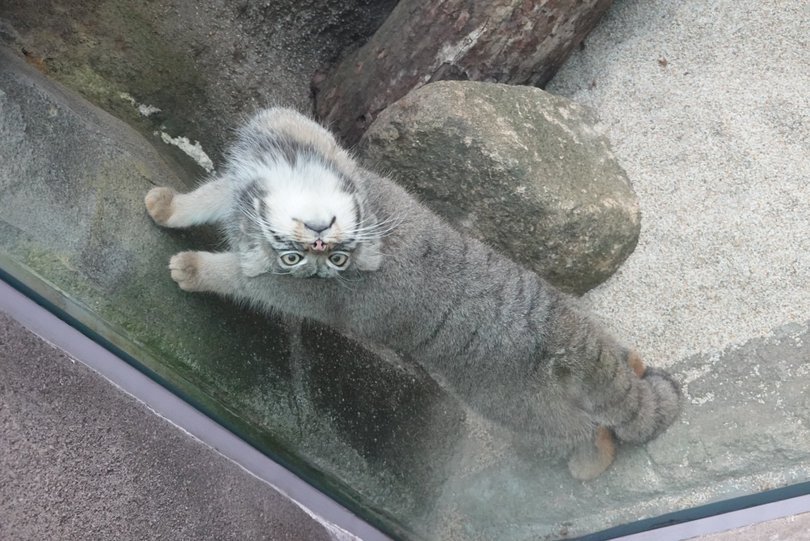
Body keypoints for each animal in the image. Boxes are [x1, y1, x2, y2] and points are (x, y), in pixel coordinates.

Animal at [144, 107, 676, 478]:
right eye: (309, 254)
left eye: (336, 260)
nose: (322, 244)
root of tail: (556, 327)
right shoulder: (243, 187)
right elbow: (209, 197)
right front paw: (171, 207)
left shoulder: (291, 289)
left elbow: (237, 276)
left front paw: (194, 268)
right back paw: (634, 363)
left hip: (513, 406)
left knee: (587, 429)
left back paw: (593, 459)